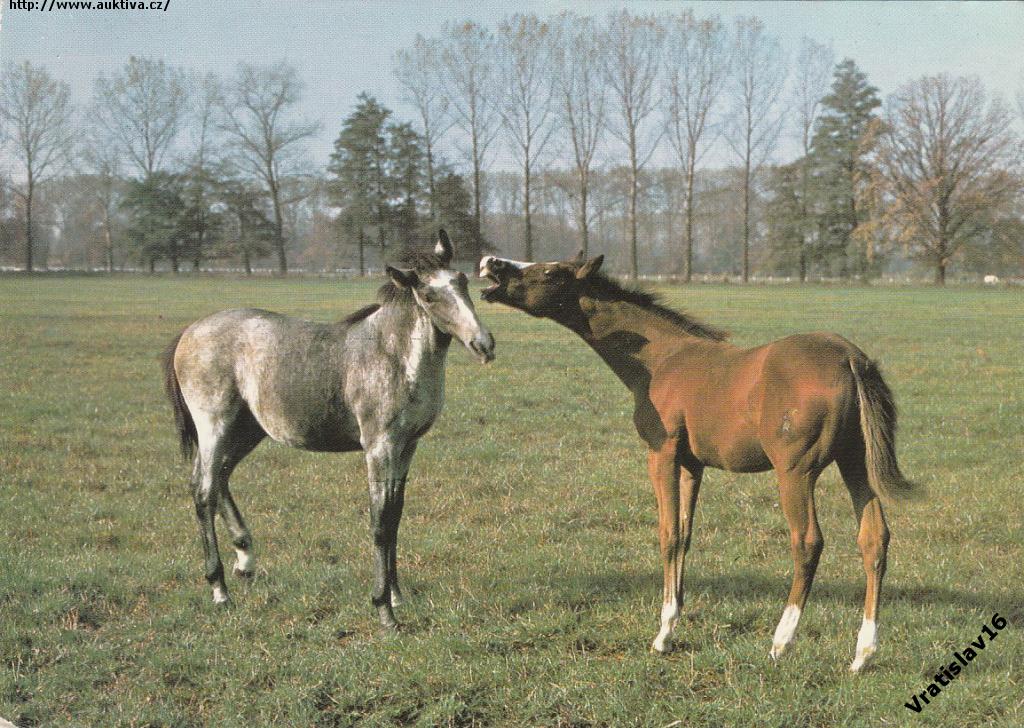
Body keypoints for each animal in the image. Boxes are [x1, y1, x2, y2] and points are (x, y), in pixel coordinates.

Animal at [160, 232, 495, 626]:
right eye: (428, 295)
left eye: (462, 281)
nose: (483, 344)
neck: (392, 355)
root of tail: (189, 331)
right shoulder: (380, 447)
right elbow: (380, 522)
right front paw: (384, 609)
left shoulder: (407, 446)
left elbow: (396, 516)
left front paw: (397, 596)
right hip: (215, 425)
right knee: (203, 490)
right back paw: (220, 590)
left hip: (246, 431)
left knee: (219, 479)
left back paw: (245, 561)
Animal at [479, 254, 921, 671]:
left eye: (551, 272)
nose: (491, 264)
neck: (661, 359)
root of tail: (850, 357)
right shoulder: (693, 465)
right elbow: (687, 534)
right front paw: (674, 619)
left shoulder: (661, 453)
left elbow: (669, 534)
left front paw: (663, 635)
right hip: (855, 464)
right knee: (873, 539)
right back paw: (862, 654)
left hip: (796, 472)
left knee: (808, 542)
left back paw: (781, 642)